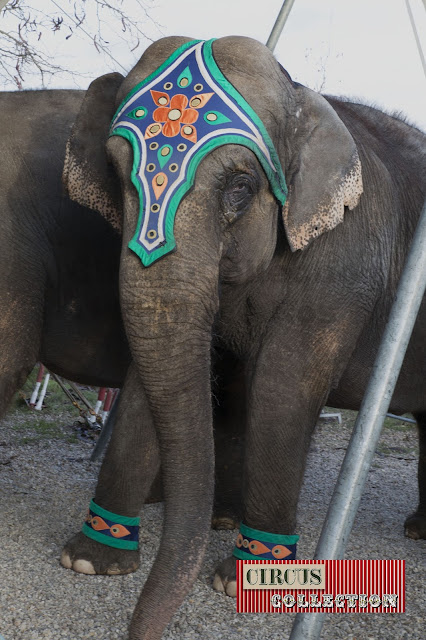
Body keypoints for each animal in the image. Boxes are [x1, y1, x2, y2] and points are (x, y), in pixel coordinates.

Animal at [61, 35, 424, 640]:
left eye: (240, 187)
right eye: (114, 172)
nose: (141, 630)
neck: (302, 96)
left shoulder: (345, 263)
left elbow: (284, 382)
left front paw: (249, 582)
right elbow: (154, 369)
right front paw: (91, 560)